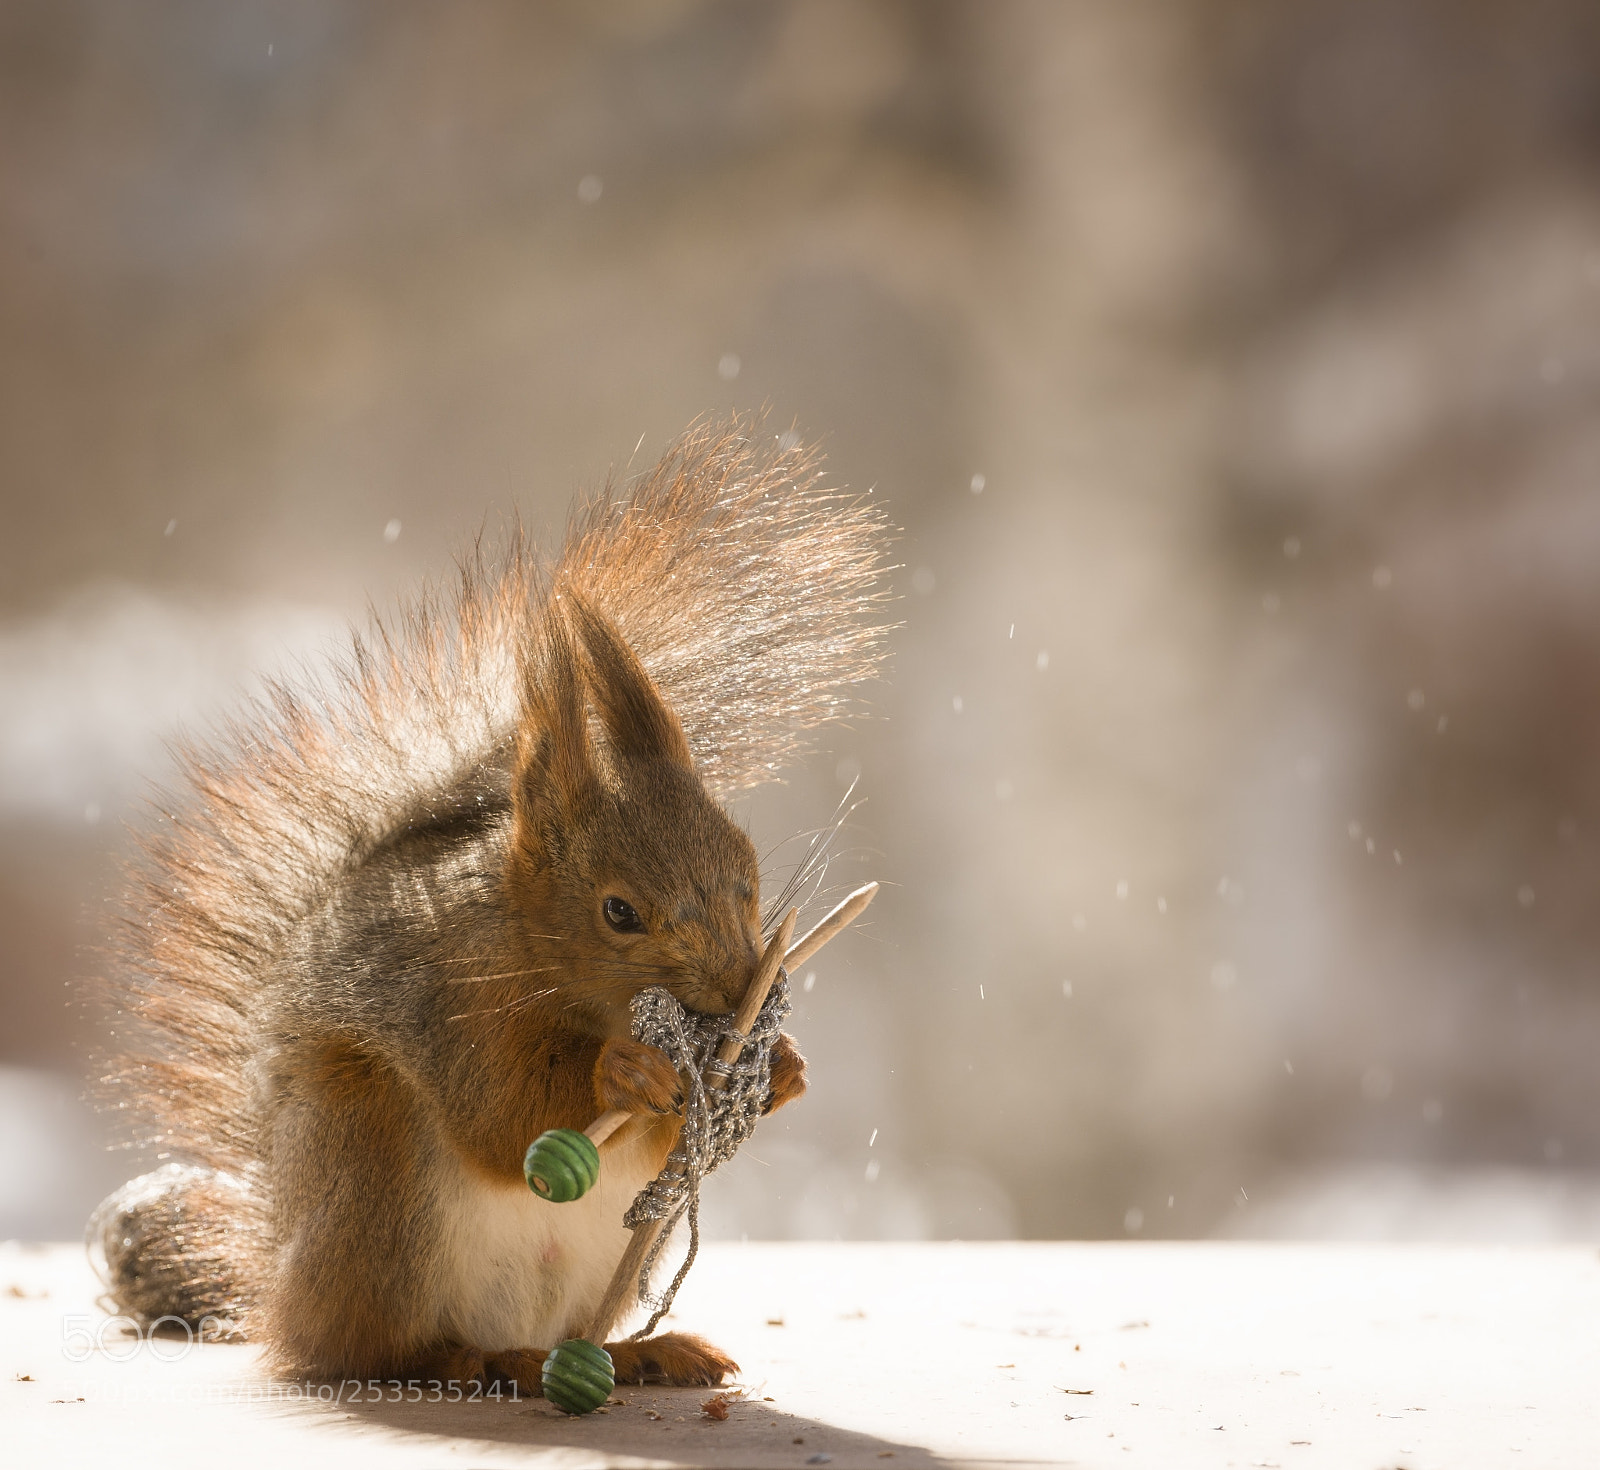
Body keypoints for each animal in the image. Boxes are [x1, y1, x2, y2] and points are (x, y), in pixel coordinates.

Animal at [89, 417, 890, 1393]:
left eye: (748, 874)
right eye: (618, 913)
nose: (743, 990)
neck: (530, 944)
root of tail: (276, 1284)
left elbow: (666, 1140)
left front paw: (783, 1068)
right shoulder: (443, 1000)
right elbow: (500, 1115)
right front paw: (621, 1073)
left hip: (619, 1254)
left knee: (567, 1336)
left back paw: (641, 1350)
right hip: (373, 1172)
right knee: (359, 1346)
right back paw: (452, 1357)